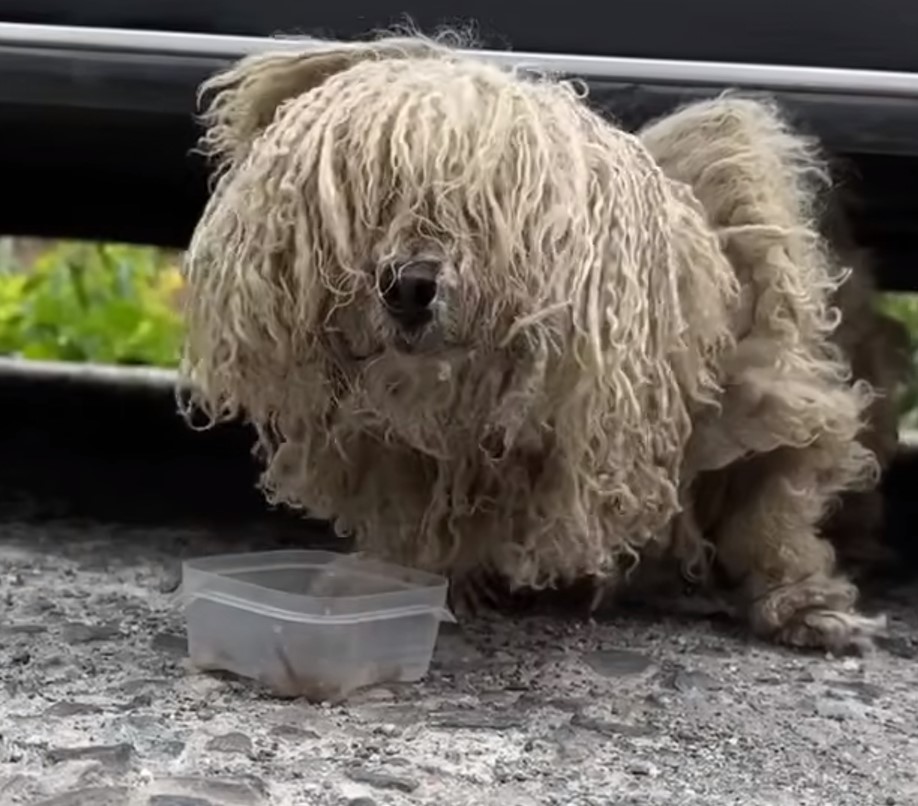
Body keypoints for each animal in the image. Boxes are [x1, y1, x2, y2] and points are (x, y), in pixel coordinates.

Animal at [180, 36, 912, 656]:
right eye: (374, 199)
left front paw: (805, 604)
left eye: (484, 211)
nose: (408, 286)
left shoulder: (762, 385)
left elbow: (772, 505)